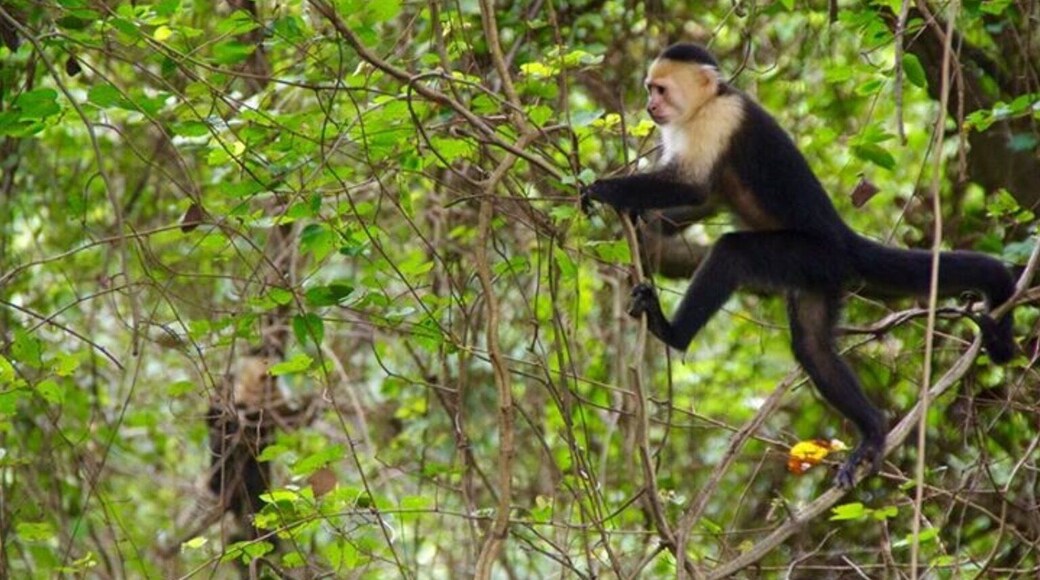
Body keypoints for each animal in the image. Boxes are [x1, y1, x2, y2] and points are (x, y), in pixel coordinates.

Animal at [582, 43, 1017, 488]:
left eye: (661, 89)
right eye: (650, 88)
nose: (650, 106)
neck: (708, 102)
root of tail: (843, 239)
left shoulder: (721, 119)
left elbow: (693, 187)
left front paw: (604, 189)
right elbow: (707, 200)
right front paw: (639, 220)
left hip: (810, 253)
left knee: (733, 253)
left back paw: (672, 332)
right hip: (819, 276)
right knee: (812, 346)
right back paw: (875, 428)